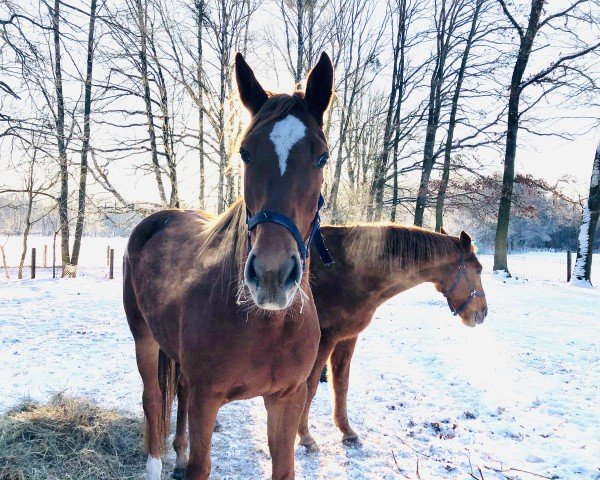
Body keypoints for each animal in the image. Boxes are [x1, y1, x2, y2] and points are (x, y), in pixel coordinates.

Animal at [123, 52, 332, 480]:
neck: (267, 324)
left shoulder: (286, 399)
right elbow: (200, 465)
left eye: (321, 156)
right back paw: (155, 462)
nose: (271, 275)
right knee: (153, 399)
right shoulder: (208, 401)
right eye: (246, 153)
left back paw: (177, 453)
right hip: (143, 337)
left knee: (178, 392)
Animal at [296, 224, 488, 450]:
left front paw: (347, 432)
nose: (483, 312)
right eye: (478, 270)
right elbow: (310, 386)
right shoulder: (325, 339)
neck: (347, 271)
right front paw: (305, 435)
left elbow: (341, 384)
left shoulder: (346, 337)